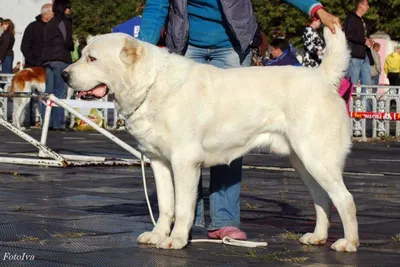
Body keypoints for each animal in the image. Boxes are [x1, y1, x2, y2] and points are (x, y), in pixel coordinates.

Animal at [61, 25, 360, 253]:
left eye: (92, 59)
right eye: (83, 55)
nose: (64, 74)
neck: (150, 84)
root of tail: (321, 77)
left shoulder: (184, 161)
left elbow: (182, 207)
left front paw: (176, 240)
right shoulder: (159, 162)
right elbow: (166, 206)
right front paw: (158, 235)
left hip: (316, 157)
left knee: (344, 199)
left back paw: (348, 243)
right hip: (303, 161)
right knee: (322, 199)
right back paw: (318, 237)